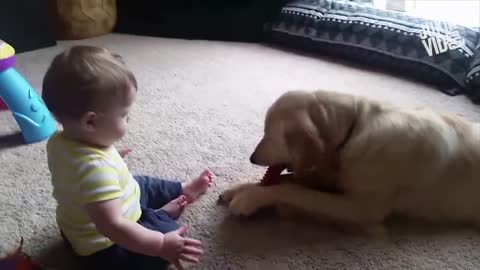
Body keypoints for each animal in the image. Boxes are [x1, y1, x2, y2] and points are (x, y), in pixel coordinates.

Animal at [222, 89, 480, 231]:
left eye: (268, 134)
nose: (252, 158)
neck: (355, 128)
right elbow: (287, 180)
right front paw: (241, 188)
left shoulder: (363, 207)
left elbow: (293, 189)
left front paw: (250, 198)